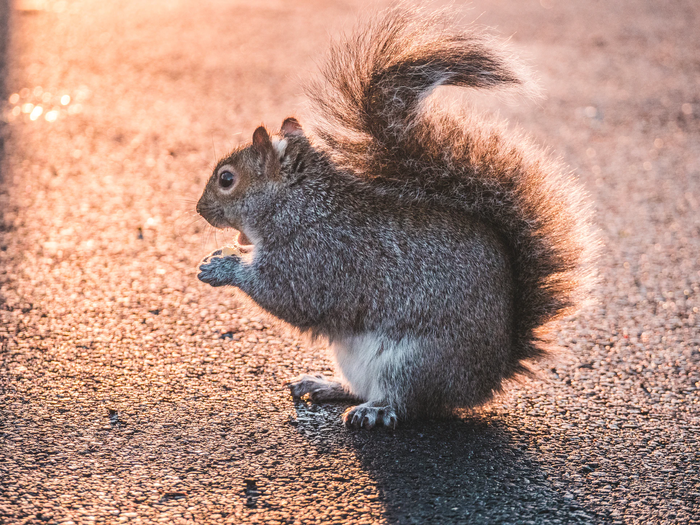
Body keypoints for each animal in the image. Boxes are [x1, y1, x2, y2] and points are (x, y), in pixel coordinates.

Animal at [194, 7, 592, 430]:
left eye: (226, 179)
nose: (199, 209)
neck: (303, 204)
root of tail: (489, 375)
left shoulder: (318, 257)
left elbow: (290, 295)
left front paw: (222, 268)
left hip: (416, 361)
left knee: (408, 402)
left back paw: (376, 410)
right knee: (361, 387)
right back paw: (325, 384)